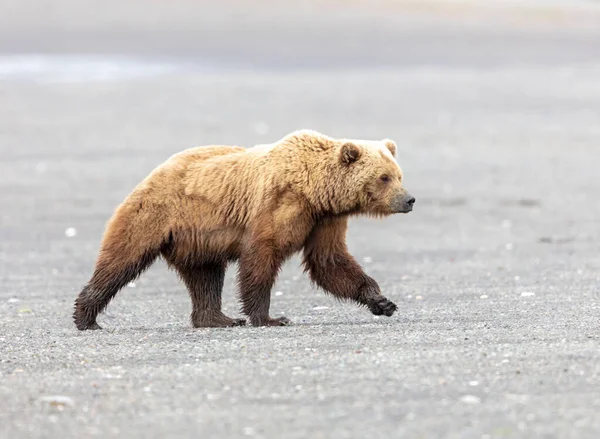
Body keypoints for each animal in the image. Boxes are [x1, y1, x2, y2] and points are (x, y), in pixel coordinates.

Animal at [72, 131, 414, 330]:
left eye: (398, 175)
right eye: (384, 177)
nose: (409, 199)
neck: (314, 188)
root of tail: (150, 175)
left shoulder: (324, 218)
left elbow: (329, 261)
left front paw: (382, 302)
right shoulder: (279, 204)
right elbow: (262, 255)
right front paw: (271, 318)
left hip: (197, 238)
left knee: (205, 276)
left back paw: (217, 319)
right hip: (155, 215)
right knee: (121, 260)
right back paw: (86, 317)